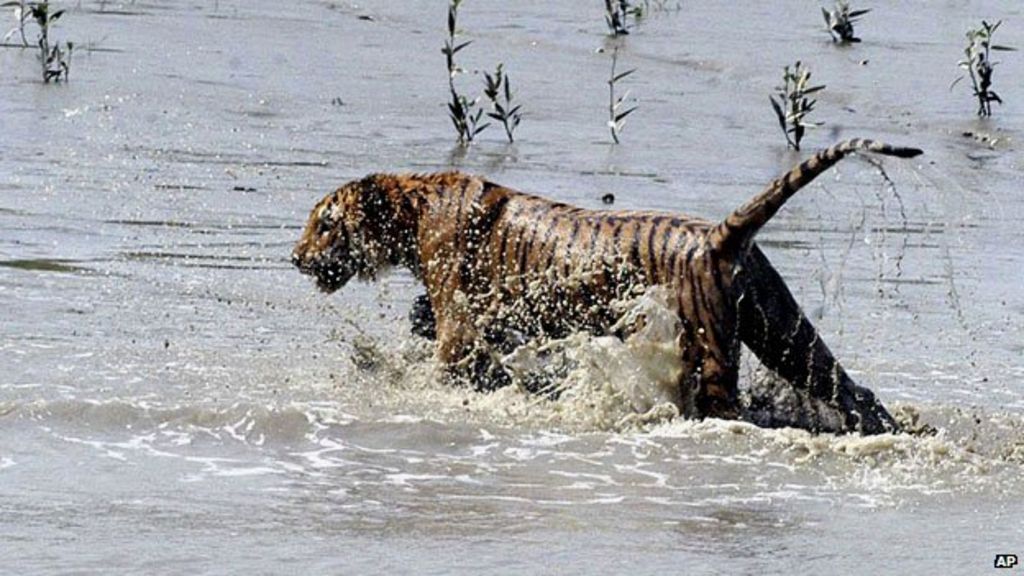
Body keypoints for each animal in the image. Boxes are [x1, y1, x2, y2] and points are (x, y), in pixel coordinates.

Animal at [292, 139, 925, 432]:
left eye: (323, 223)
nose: (294, 258)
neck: (413, 207)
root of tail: (721, 234)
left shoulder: (460, 322)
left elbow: (445, 358)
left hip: (715, 352)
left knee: (730, 410)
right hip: (786, 333)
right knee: (855, 390)